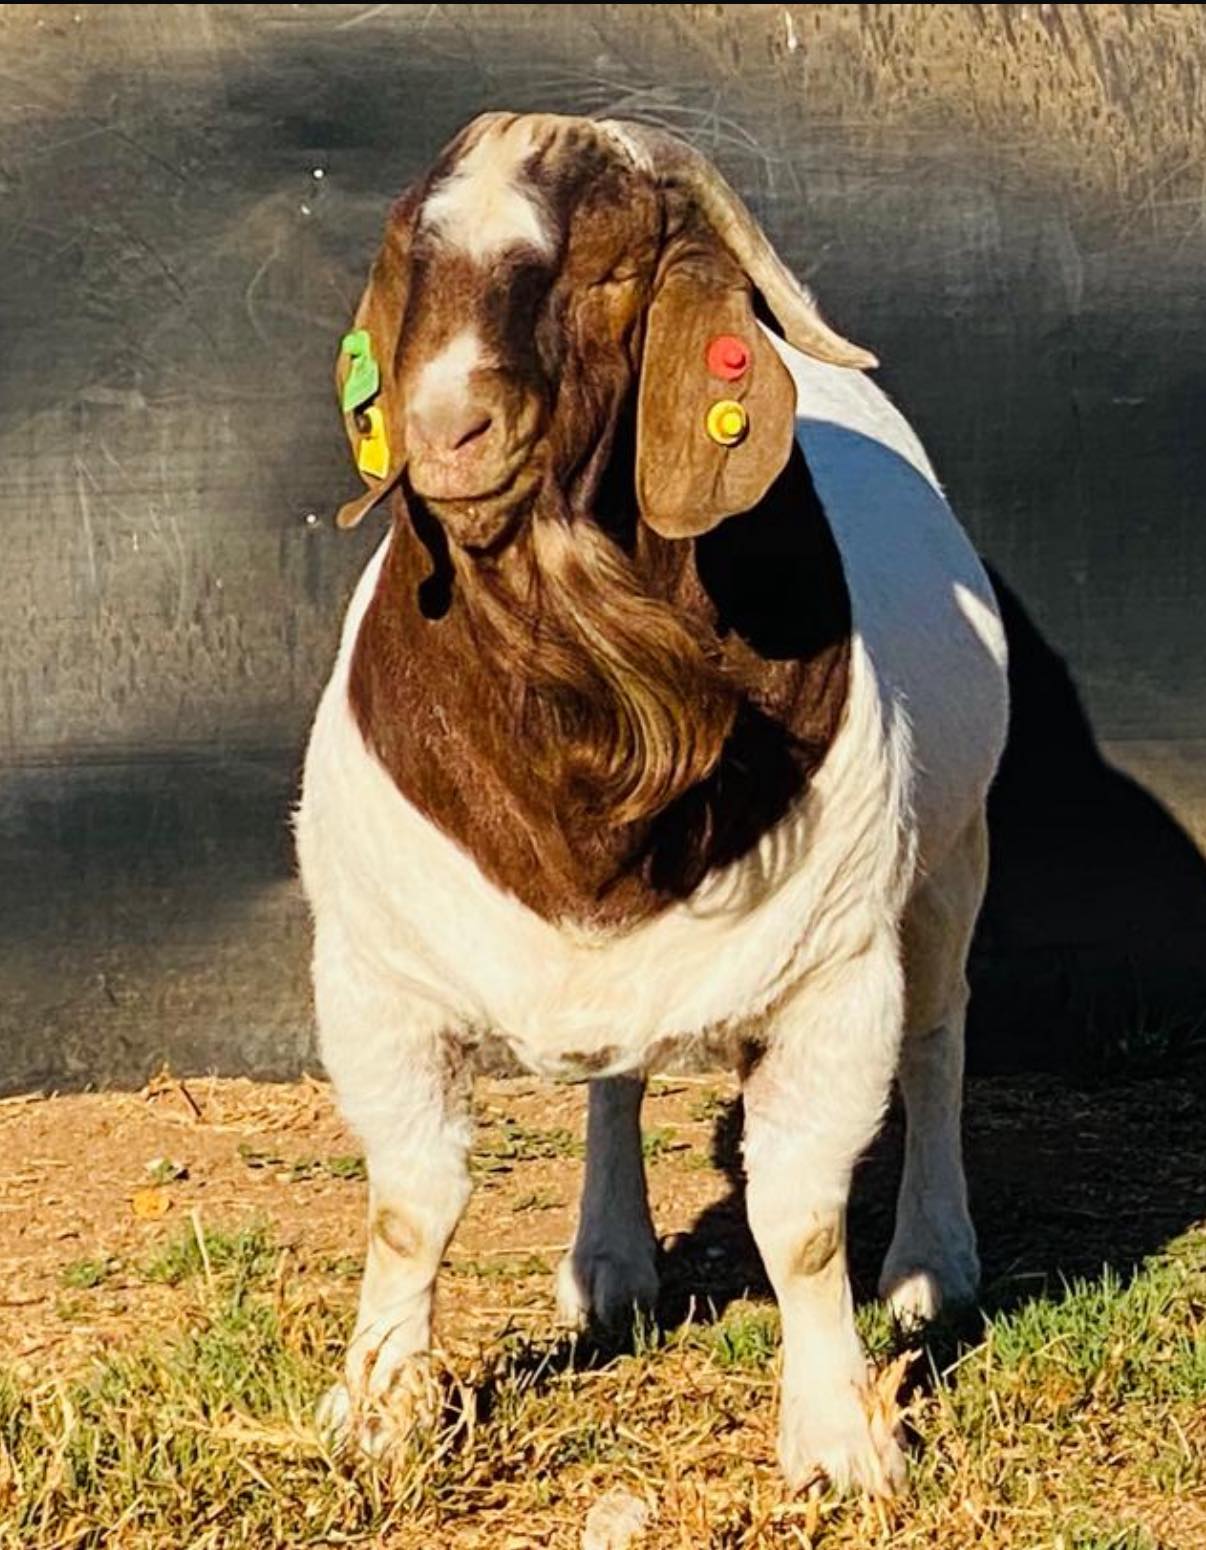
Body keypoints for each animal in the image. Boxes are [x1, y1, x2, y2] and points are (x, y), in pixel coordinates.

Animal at [295, 111, 1008, 1496]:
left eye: (613, 271)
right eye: (415, 252)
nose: (446, 429)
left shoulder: (832, 976)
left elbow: (799, 1219)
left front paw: (841, 1442)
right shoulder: (374, 975)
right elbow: (410, 1201)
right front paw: (380, 1409)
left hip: (952, 856)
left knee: (940, 1035)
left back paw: (930, 1265)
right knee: (614, 1080)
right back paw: (610, 1265)